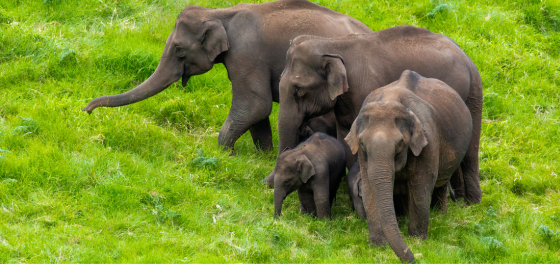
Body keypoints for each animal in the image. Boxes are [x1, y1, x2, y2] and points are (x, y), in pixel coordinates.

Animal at [83, 0, 372, 152]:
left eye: (178, 49)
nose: (86, 110)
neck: (219, 13)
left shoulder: (246, 55)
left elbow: (255, 104)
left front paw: (225, 154)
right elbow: (257, 111)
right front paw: (262, 154)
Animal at [274, 24, 482, 204]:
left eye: (298, 89)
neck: (334, 44)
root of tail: (469, 61)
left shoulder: (365, 92)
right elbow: (347, 140)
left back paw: (468, 203)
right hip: (471, 98)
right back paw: (463, 201)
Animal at [346, 70, 472, 264]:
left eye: (400, 143)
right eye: (361, 143)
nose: (413, 257)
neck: (389, 100)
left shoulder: (429, 141)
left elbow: (420, 188)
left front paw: (417, 241)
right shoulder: (361, 155)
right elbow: (369, 190)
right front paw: (377, 247)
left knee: (441, 182)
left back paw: (440, 216)